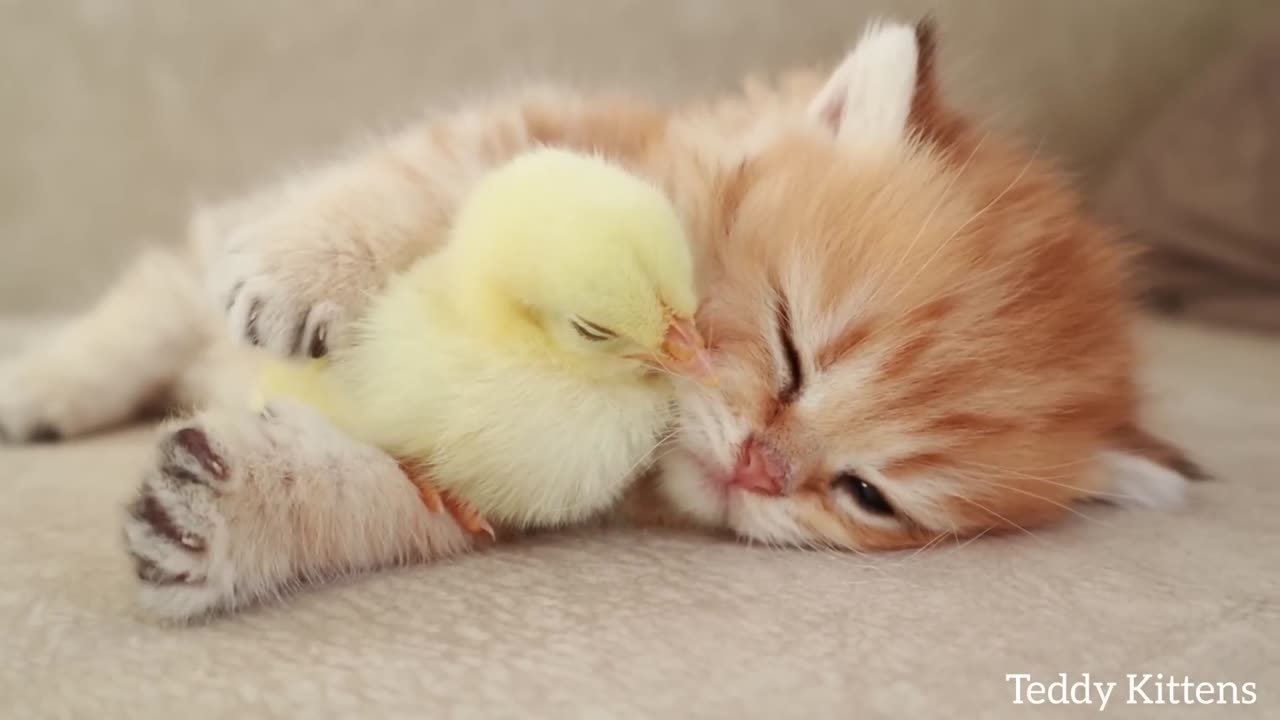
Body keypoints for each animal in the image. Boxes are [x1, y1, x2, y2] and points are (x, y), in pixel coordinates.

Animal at [0, 19, 1198, 620]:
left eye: (866, 496)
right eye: (790, 346)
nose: (761, 467)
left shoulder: (489, 491)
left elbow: (384, 497)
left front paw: (235, 514)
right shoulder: (537, 136)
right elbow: (422, 176)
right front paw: (311, 266)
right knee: (157, 291)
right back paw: (44, 385)